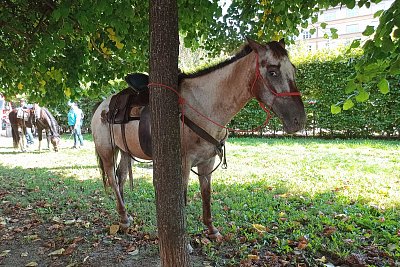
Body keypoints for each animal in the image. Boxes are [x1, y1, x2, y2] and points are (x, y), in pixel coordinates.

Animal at [90, 37, 306, 239]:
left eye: (294, 69)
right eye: (272, 72)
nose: (299, 120)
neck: (204, 106)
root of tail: (101, 106)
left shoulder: (207, 162)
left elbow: (206, 194)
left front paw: (212, 230)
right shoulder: (183, 163)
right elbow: (183, 199)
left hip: (125, 150)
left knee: (121, 177)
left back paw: (124, 216)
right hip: (107, 151)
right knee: (112, 178)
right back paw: (124, 217)